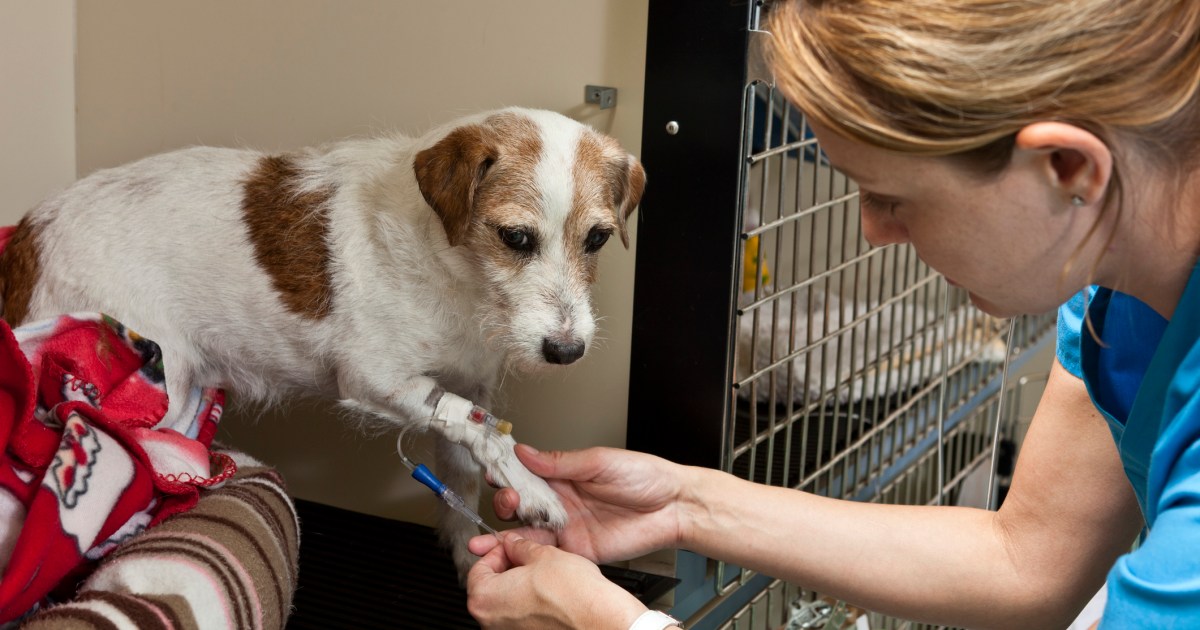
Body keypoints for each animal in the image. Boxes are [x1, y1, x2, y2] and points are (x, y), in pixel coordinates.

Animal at [0, 106, 648, 573]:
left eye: (596, 239)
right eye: (515, 237)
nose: (567, 351)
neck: (457, 271)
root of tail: (28, 233)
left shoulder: (471, 382)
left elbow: (465, 460)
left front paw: (473, 558)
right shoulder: (375, 378)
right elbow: (484, 431)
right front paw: (534, 487)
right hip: (157, 389)